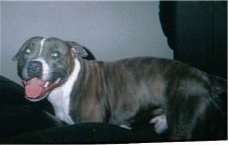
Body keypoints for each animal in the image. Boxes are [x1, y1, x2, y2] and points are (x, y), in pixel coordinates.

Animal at [13, 36, 227, 141]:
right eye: (27, 51)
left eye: (55, 54)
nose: (34, 65)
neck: (66, 86)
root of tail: (207, 77)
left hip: (185, 129)